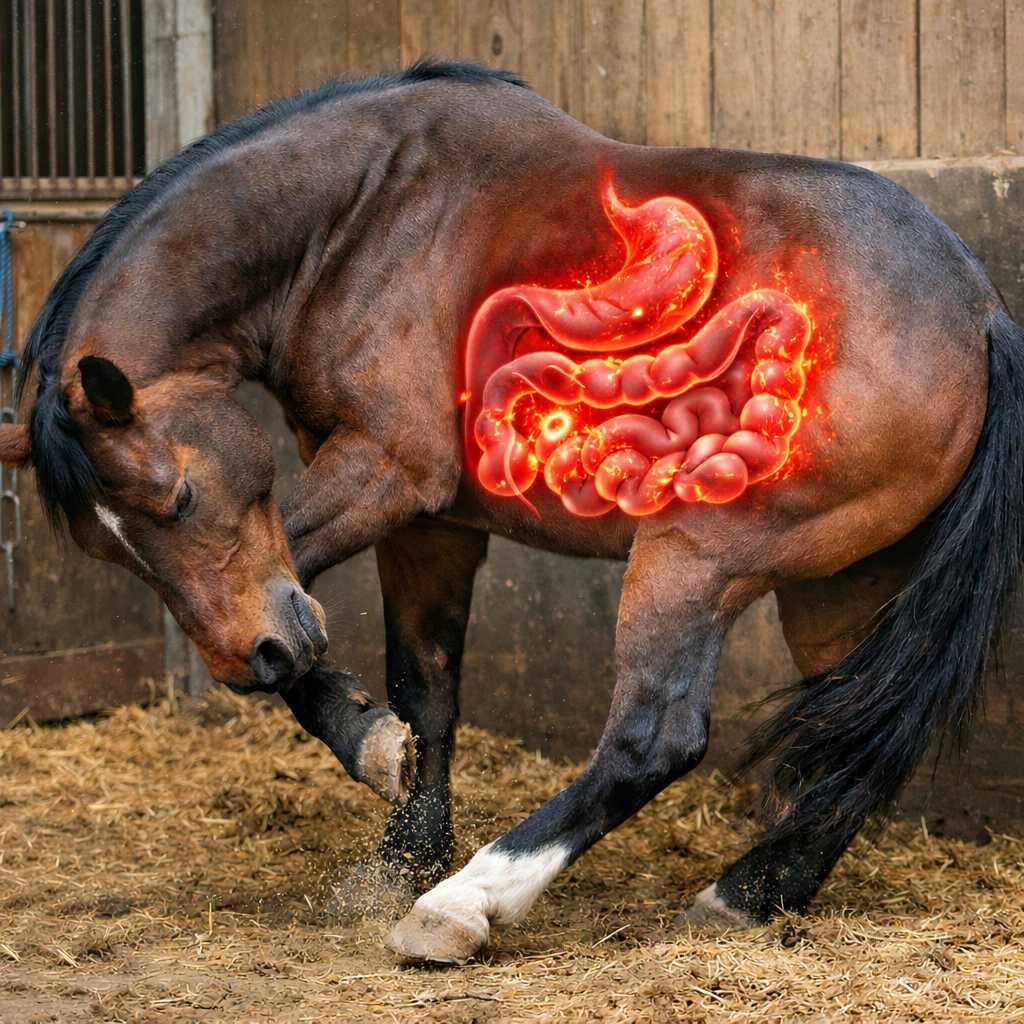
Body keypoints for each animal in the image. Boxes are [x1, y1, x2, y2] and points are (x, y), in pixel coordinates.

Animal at [2, 61, 1021, 965]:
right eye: (108, 549)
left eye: (177, 495)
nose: (265, 659)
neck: (363, 214)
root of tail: (977, 311)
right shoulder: (432, 524)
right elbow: (425, 688)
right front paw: (399, 842)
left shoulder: (386, 472)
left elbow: (297, 574)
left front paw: (376, 768)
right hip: (840, 584)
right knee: (855, 739)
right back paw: (751, 894)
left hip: (699, 556)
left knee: (656, 737)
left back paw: (466, 907)